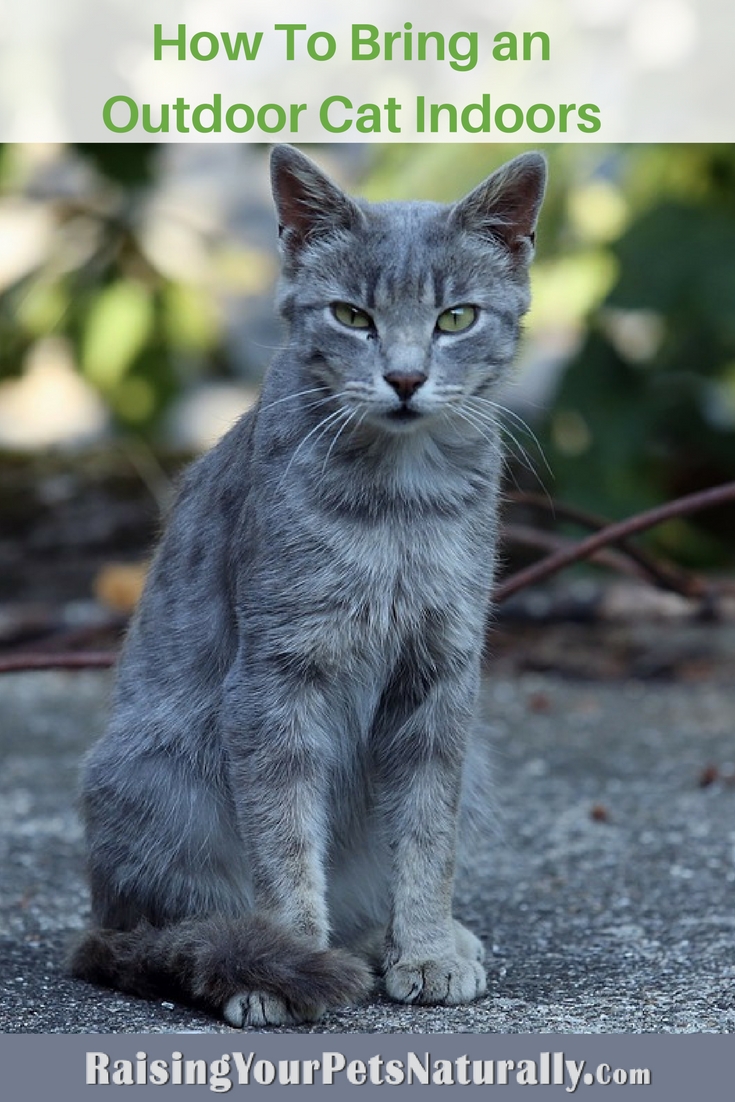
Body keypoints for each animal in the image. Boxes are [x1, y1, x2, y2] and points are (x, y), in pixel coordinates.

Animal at [71, 144, 546, 1022]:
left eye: (454, 318)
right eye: (351, 317)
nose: (404, 378)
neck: (399, 501)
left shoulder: (441, 677)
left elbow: (427, 834)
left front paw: (425, 947)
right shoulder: (274, 680)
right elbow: (283, 839)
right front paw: (286, 963)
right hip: (155, 771)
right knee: (170, 919)